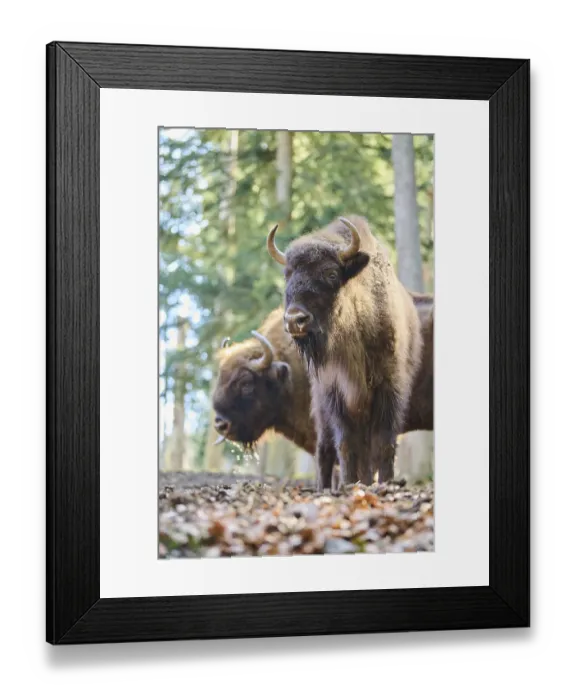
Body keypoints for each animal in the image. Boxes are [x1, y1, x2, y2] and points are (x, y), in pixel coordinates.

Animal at [267, 215, 424, 488]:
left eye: (331, 273)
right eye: (288, 274)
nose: (295, 320)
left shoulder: (389, 387)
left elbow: (383, 443)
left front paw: (383, 482)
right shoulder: (334, 392)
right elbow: (346, 443)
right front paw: (350, 484)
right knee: (324, 449)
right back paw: (325, 486)